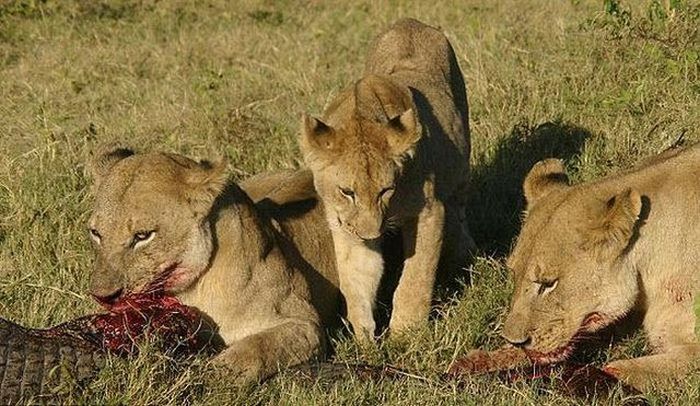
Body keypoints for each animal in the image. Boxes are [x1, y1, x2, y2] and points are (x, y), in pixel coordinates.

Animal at [89, 147, 340, 382]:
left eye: (143, 236)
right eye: (95, 233)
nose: (102, 296)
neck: (192, 290)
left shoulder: (305, 322)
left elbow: (256, 348)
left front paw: (209, 377)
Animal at [298, 18, 474, 336]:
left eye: (386, 190)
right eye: (347, 192)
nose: (371, 234)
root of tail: (411, 22)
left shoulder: (429, 211)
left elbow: (415, 277)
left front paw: (405, 334)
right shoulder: (346, 227)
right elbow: (356, 281)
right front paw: (364, 338)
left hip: (461, 158)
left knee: (459, 205)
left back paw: (464, 251)